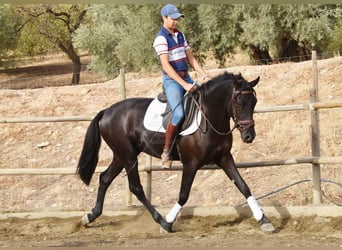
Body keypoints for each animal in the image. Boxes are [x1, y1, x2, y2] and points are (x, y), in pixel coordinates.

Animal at [75, 72, 276, 232]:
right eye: (239, 102)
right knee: (136, 187)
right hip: (128, 156)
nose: (249, 136)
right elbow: (183, 194)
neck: (209, 117)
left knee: (105, 178)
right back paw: (160, 220)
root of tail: (107, 111)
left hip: (121, 155)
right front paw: (169, 222)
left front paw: (264, 220)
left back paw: (90, 216)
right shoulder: (191, 163)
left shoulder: (225, 158)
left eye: (255, 102)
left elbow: (244, 187)